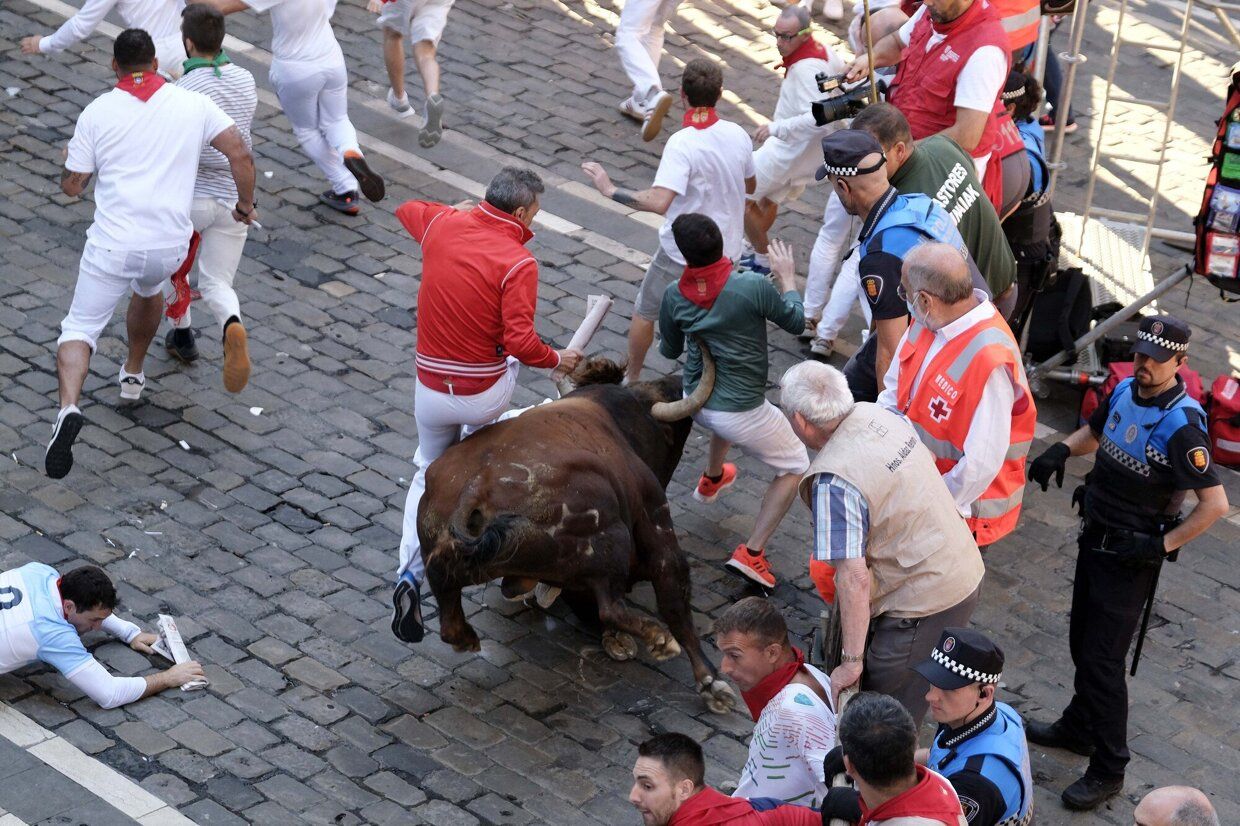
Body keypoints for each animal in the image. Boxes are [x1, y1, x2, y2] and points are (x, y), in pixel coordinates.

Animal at [421, 344, 739, 709]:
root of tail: (476, 487)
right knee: (612, 606)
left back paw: (465, 636)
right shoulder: (656, 524)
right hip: (612, 541)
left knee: (446, 599)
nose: (677, 383)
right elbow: (675, 602)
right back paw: (657, 637)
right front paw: (711, 681)